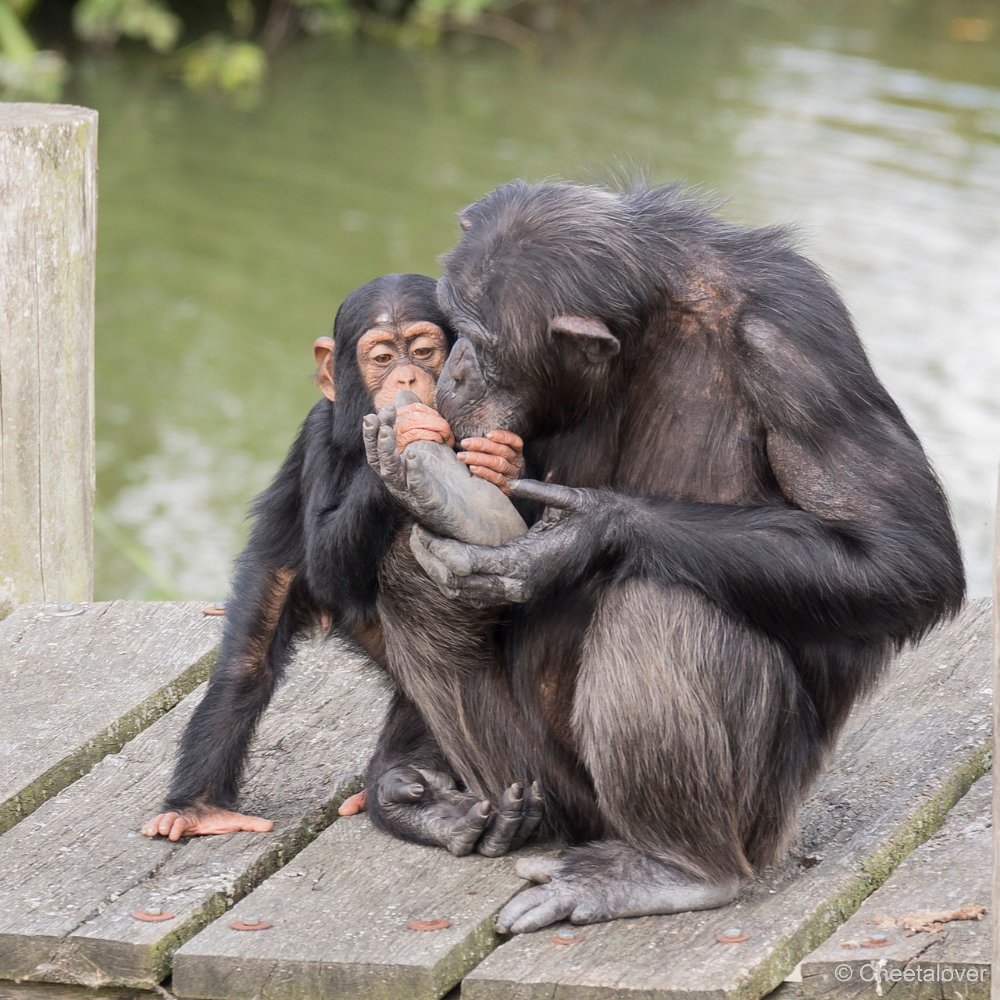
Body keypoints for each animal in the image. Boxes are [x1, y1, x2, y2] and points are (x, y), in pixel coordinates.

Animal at [144, 276, 528, 844]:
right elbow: (327, 563)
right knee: (248, 662)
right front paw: (396, 448)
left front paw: (499, 463)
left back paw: (411, 794)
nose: (408, 377)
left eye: (424, 350)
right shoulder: (319, 435)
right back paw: (199, 808)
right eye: (384, 357)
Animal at [364, 178, 964, 928]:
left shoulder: (796, 345)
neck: (643, 329)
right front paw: (404, 782)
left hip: (757, 818)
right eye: (453, 326)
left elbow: (900, 551)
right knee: (412, 577)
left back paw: (671, 867)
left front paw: (578, 538)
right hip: (535, 783)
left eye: (482, 340)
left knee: (663, 598)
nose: (455, 370)